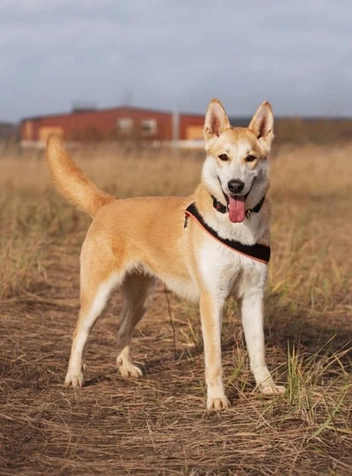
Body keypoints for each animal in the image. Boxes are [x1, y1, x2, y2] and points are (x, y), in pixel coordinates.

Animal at [46, 97, 284, 410]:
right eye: (223, 157)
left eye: (250, 158)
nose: (235, 186)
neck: (236, 227)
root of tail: (109, 204)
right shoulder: (212, 300)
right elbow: (214, 359)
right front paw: (216, 398)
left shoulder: (253, 297)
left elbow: (258, 351)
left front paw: (266, 386)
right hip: (98, 296)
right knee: (79, 333)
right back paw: (74, 375)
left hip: (142, 298)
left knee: (121, 329)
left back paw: (126, 367)